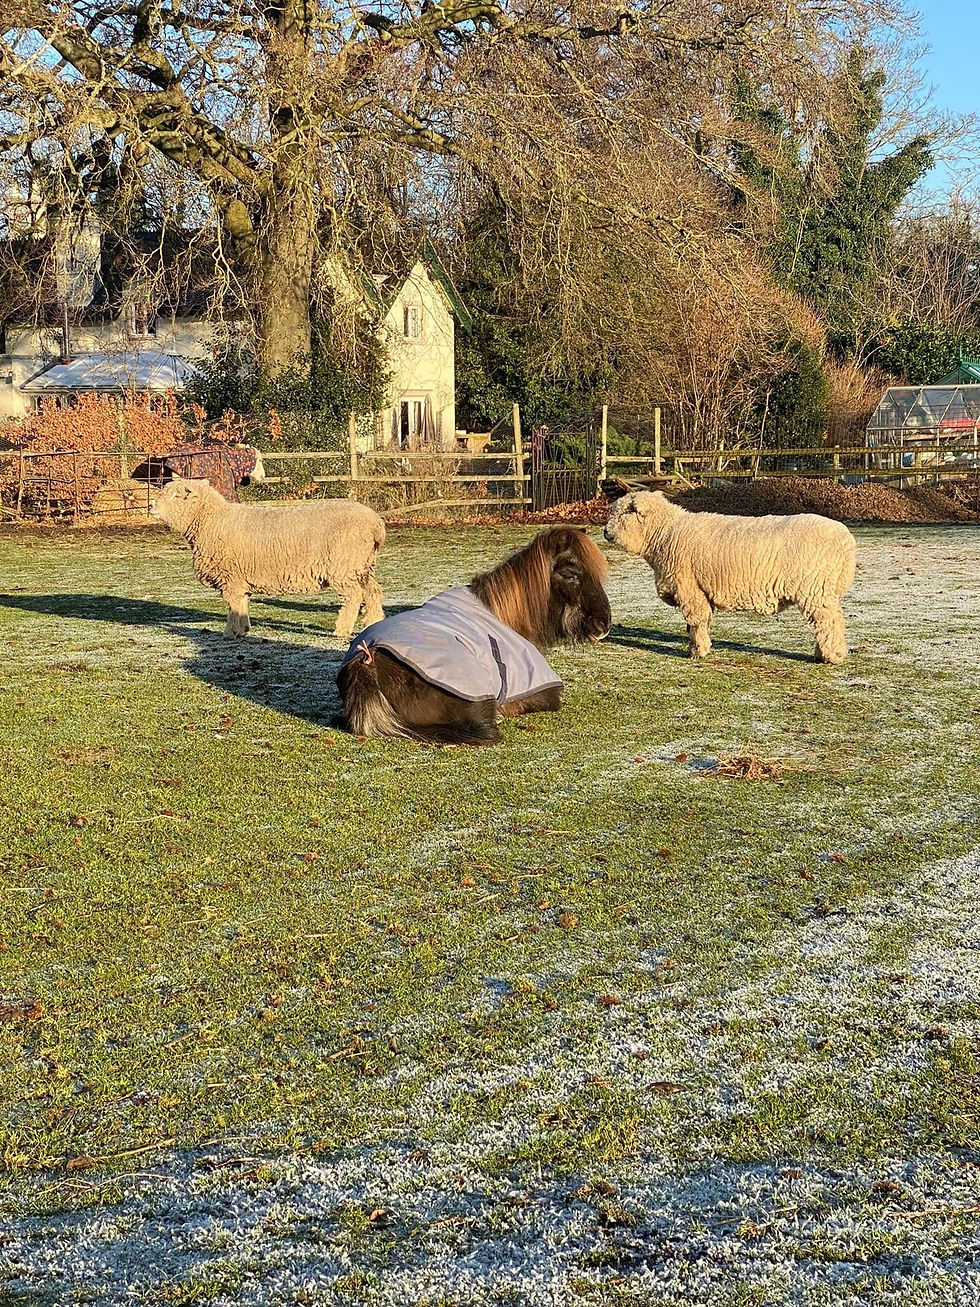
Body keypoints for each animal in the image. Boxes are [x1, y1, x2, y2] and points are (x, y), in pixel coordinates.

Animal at [151, 477, 385, 639]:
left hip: (344, 566)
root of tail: (376, 523)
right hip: (363, 565)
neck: (212, 521)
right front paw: (244, 629)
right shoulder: (240, 576)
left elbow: (233, 605)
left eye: (176, 496)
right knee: (372, 592)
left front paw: (230, 632)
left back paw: (341, 630)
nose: (151, 507)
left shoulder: (230, 576)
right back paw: (373, 623)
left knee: (354, 596)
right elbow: (242, 602)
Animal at [604, 490, 856, 664]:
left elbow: (696, 621)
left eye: (624, 513)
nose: (605, 532)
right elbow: (702, 621)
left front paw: (697, 651)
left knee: (830, 622)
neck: (665, 533)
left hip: (815, 589)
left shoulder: (690, 588)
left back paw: (831, 656)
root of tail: (847, 541)